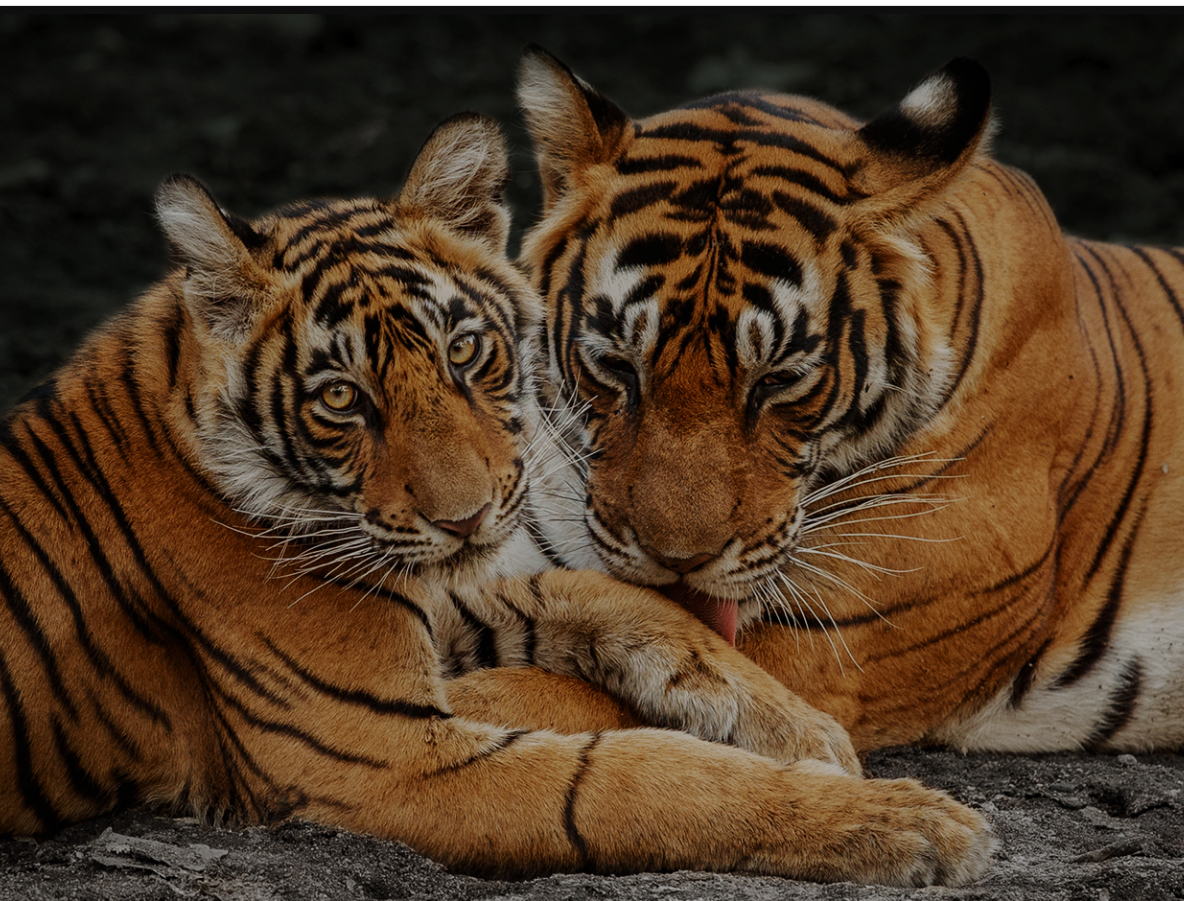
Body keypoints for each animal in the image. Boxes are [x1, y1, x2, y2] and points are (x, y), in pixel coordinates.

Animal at [0, 111, 997, 885]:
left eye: (465, 349)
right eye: (341, 399)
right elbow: (627, 780)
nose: (467, 515)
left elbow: (601, 593)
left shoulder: (443, 592)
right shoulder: (376, 753)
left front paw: (803, 728)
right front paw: (912, 822)